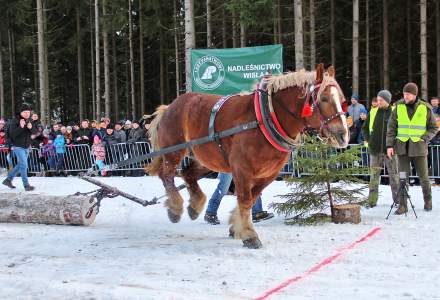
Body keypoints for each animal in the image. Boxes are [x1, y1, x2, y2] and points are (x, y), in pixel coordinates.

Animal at [150, 63, 348, 248]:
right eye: (324, 98)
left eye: (342, 99)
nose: (343, 135)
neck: (266, 118)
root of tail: (170, 106)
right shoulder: (242, 169)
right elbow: (245, 199)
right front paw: (249, 234)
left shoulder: (269, 174)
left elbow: (252, 198)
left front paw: (235, 225)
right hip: (173, 151)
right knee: (166, 175)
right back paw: (175, 208)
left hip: (207, 159)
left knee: (188, 174)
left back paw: (195, 205)